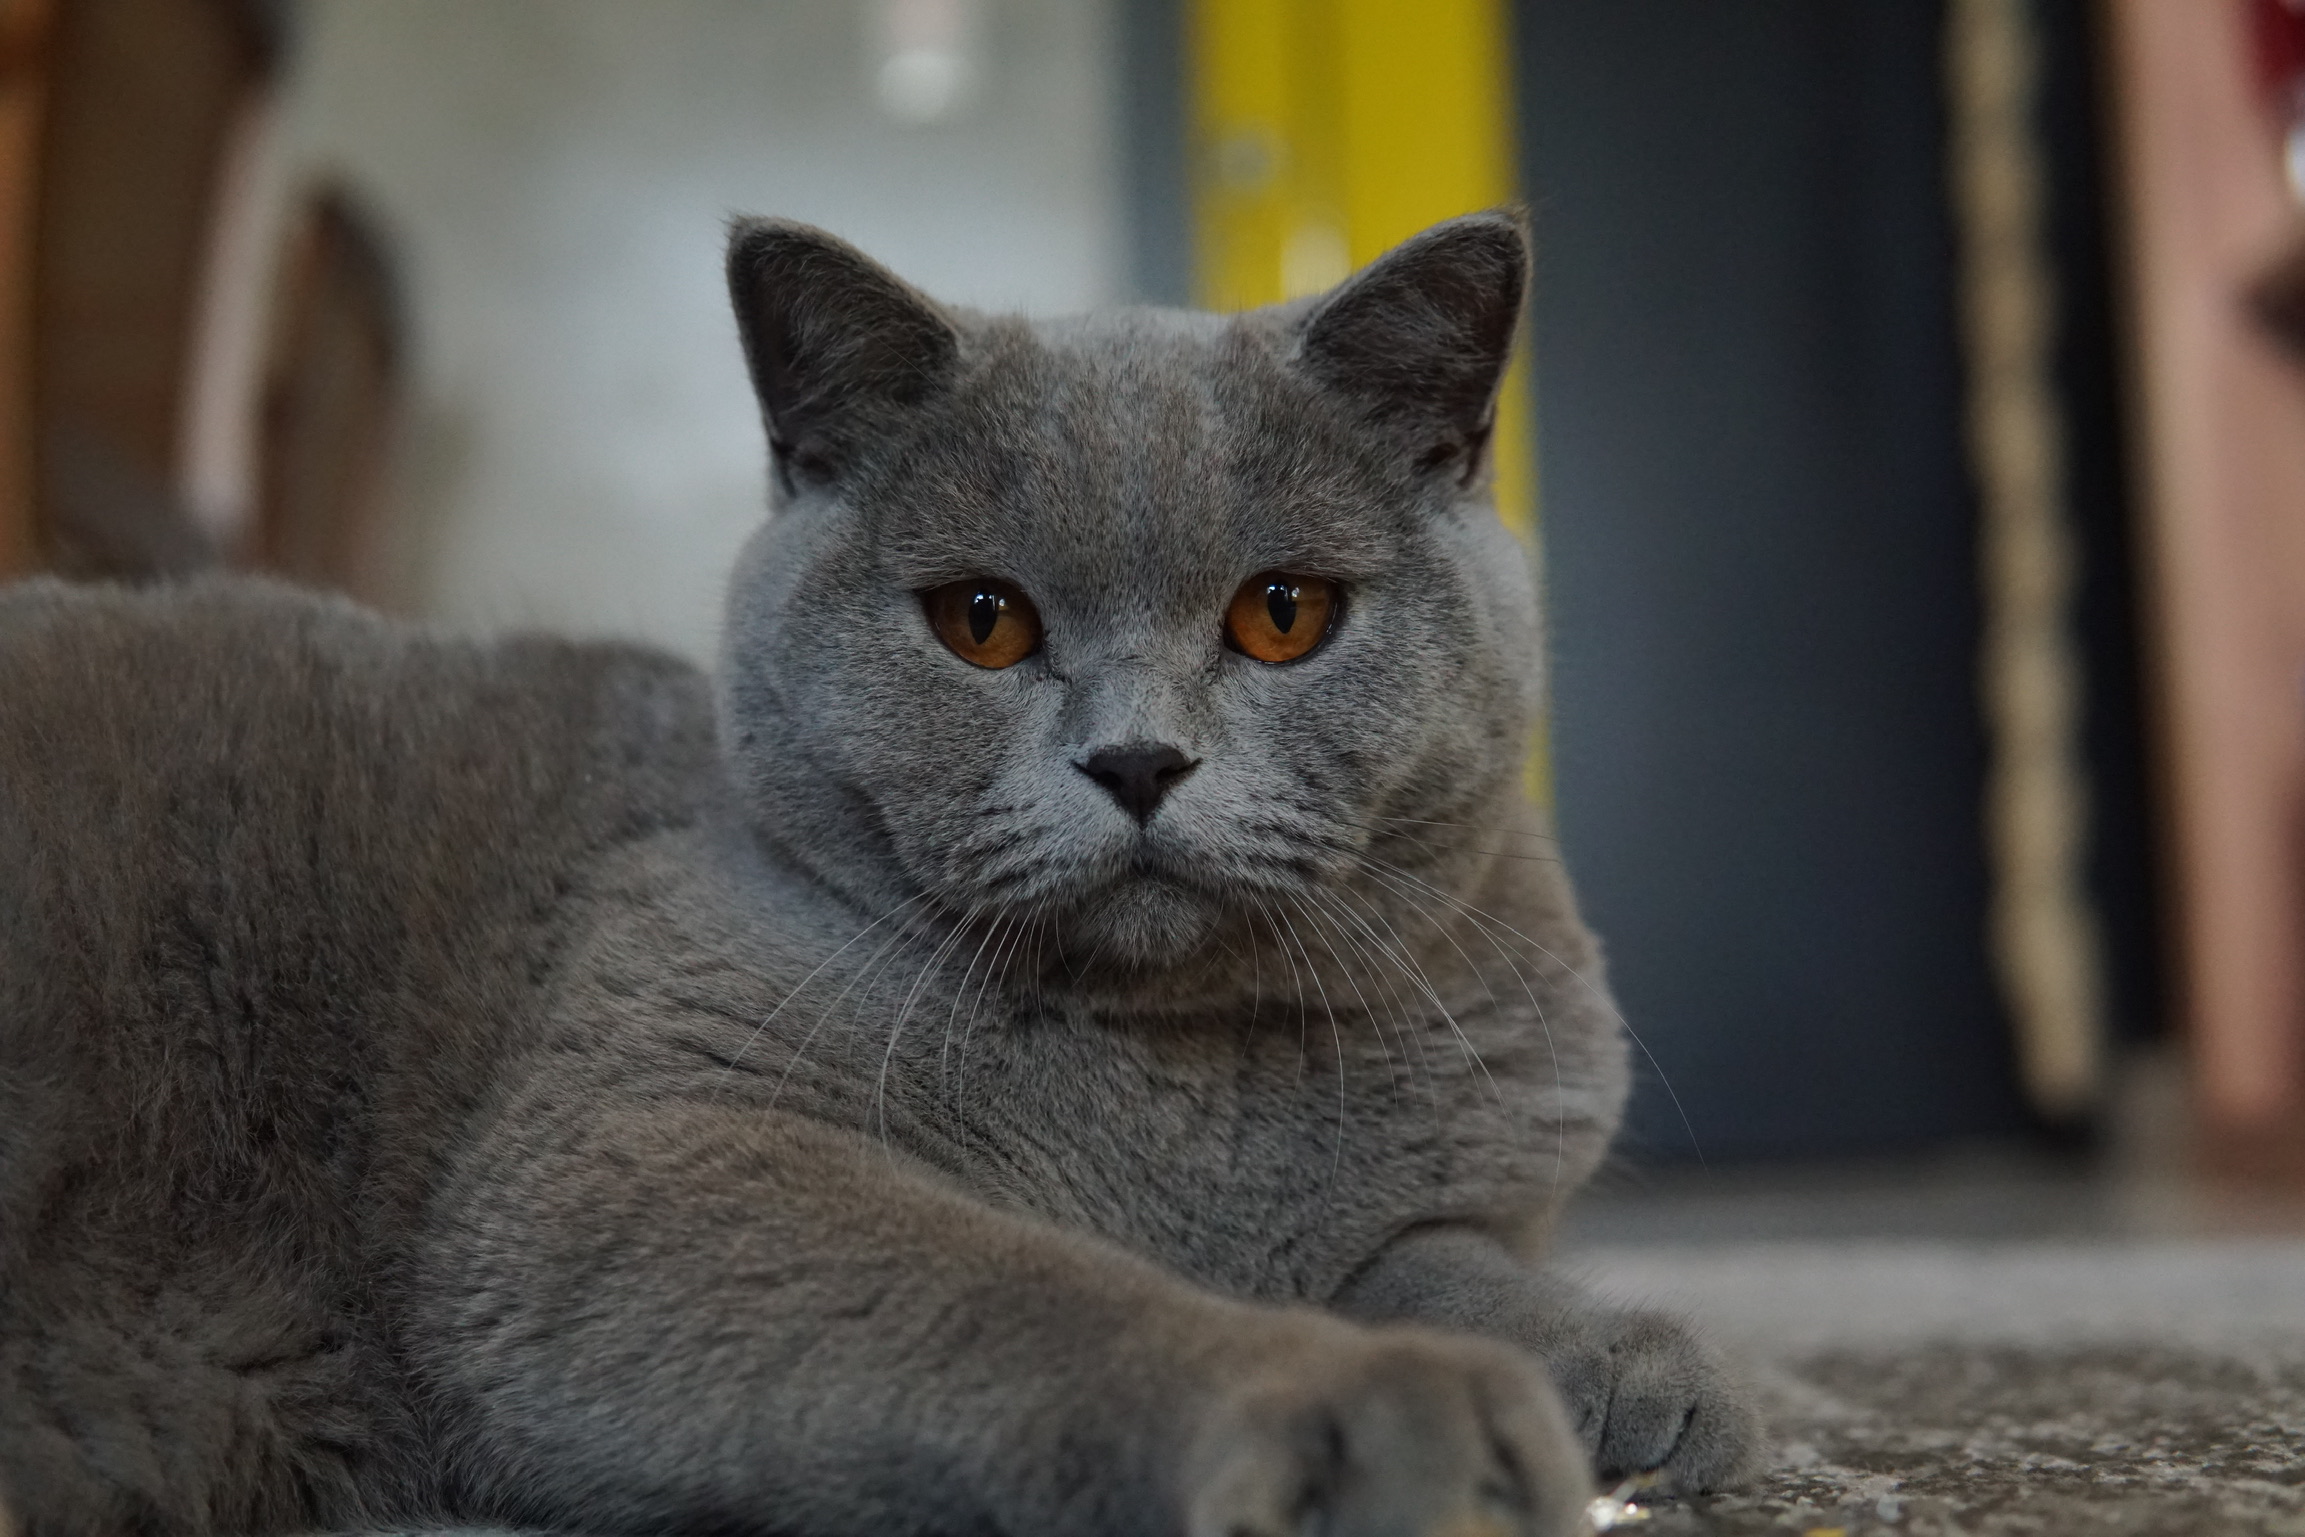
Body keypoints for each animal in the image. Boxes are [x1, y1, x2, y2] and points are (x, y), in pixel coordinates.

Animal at [0, 216, 1751, 1537]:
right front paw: (1365, 1417)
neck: (1179, 1083)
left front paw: (1629, 1368)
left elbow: (1434, 1252)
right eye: (982, 620)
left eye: (1282, 615)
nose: (1137, 761)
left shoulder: (1463, 1189)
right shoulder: (635, 1157)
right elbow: (1021, 1288)